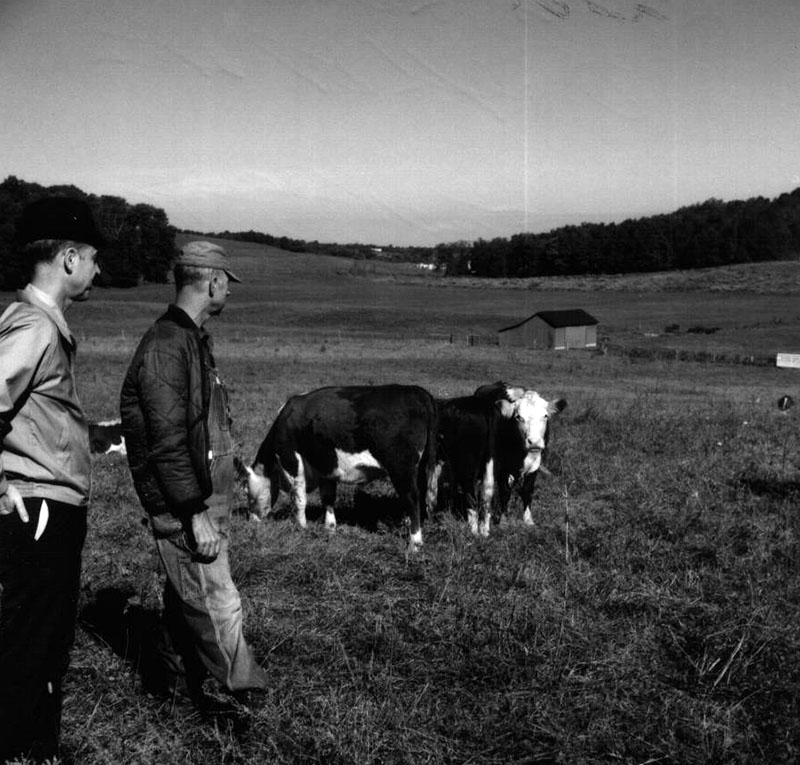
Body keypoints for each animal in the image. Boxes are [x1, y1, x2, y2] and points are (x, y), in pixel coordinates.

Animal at [247, 384, 440, 552]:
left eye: (247, 492)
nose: (251, 521)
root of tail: (418, 391)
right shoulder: (325, 467)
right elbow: (328, 498)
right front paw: (330, 528)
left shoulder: (291, 459)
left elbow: (299, 498)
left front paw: (301, 527)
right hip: (420, 467)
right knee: (420, 495)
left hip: (401, 468)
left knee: (412, 498)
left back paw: (414, 543)